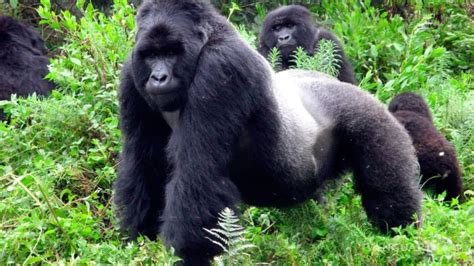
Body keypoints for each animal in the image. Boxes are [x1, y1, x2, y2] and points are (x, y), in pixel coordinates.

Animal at [114, 1, 422, 264]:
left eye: (171, 53)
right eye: (152, 55)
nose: (159, 77)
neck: (205, 43)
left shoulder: (221, 69)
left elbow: (198, 174)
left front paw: (186, 256)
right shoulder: (131, 73)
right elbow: (145, 167)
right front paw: (139, 241)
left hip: (374, 122)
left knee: (388, 194)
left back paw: (404, 239)